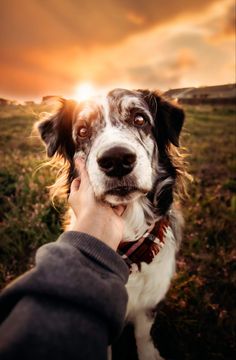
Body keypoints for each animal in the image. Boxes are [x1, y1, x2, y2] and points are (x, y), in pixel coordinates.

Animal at [37, 88, 189, 360]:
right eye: (83, 131)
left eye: (140, 119)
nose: (117, 159)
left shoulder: (149, 301)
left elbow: (143, 334)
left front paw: (149, 354)